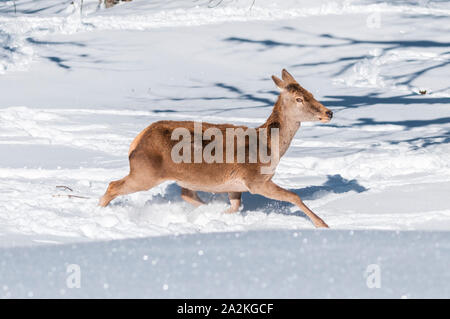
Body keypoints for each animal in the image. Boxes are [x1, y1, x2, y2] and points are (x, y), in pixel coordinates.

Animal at [98, 70, 332, 230]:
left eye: (311, 93)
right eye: (299, 99)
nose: (329, 112)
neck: (269, 147)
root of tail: (136, 141)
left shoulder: (235, 185)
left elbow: (235, 206)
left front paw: (220, 215)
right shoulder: (255, 179)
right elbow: (294, 196)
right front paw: (323, 224)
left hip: (180, 177)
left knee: (185, 194)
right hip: (145, 172)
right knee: (113, 185)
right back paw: (99, 212)